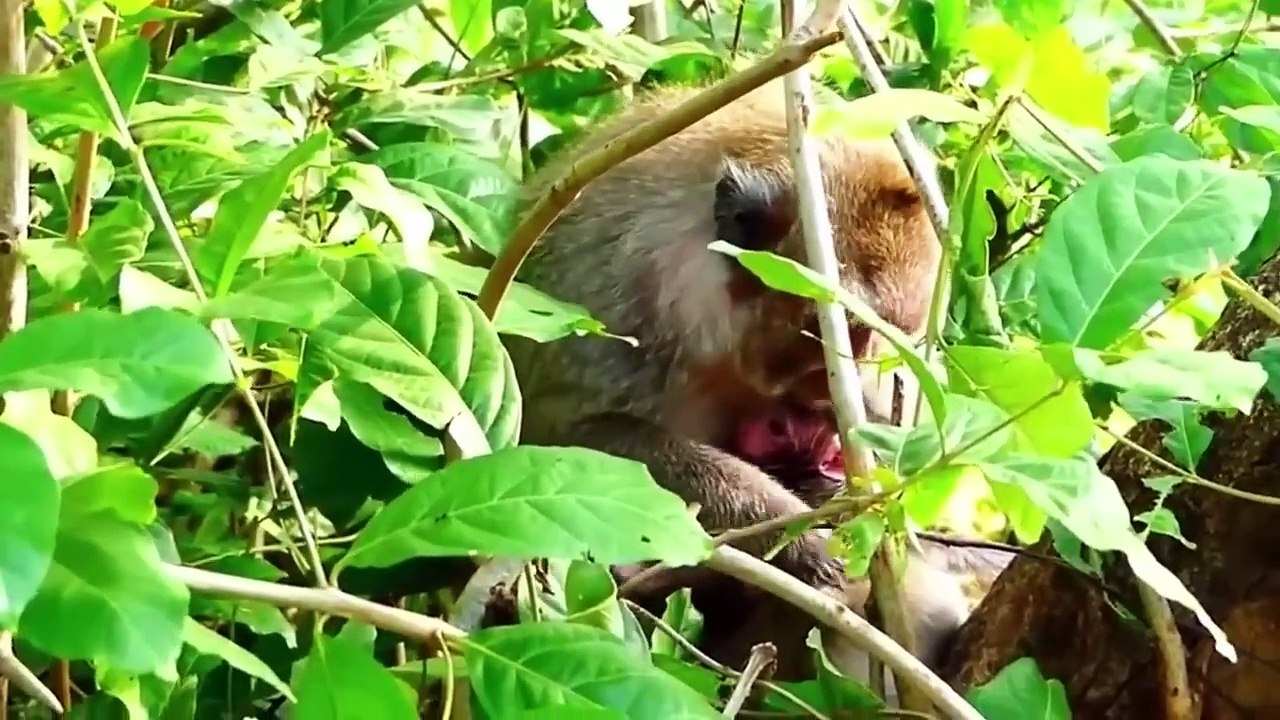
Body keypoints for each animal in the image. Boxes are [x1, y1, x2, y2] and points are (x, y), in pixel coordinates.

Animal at [502, 79, 963, 680]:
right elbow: (570, 442)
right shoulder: (608, 305)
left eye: (888, 337)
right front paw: (792, 536)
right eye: (844, 330)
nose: (835, 402)